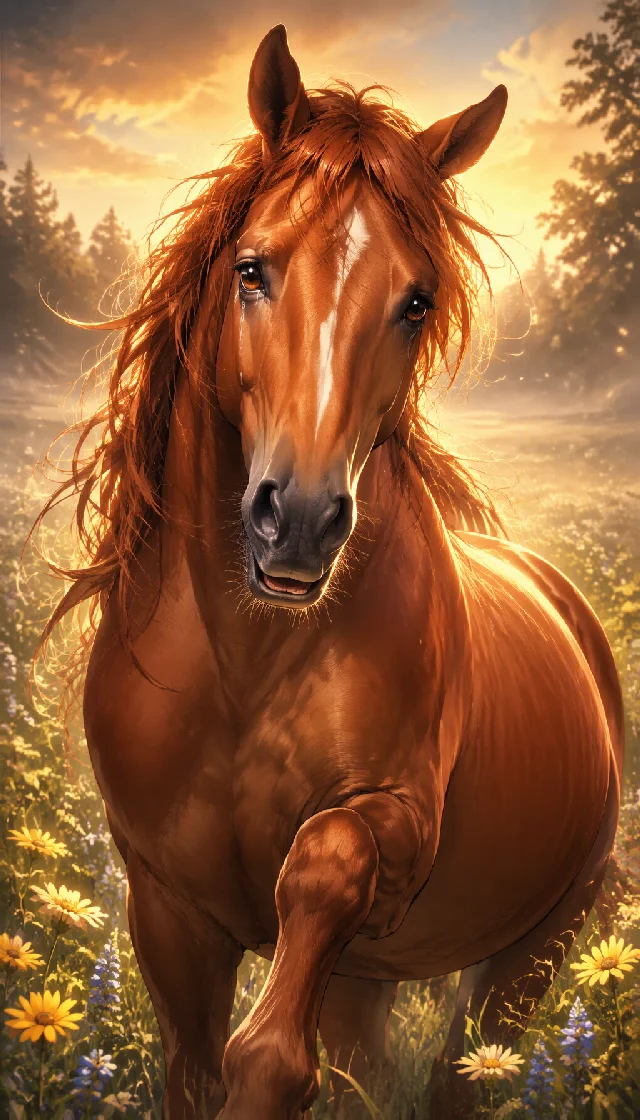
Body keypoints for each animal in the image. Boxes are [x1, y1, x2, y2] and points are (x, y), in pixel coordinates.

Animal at [38, 24, 624, 1120]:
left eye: (416, 301)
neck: (247, 656)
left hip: (535, 951)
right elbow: (195, 1067)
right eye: (252, 269)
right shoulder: (167, 907)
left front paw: (270, 1064)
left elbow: (309, 911)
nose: (300, 522)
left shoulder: (388, 832)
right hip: (369, 975)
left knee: (464, 1070)